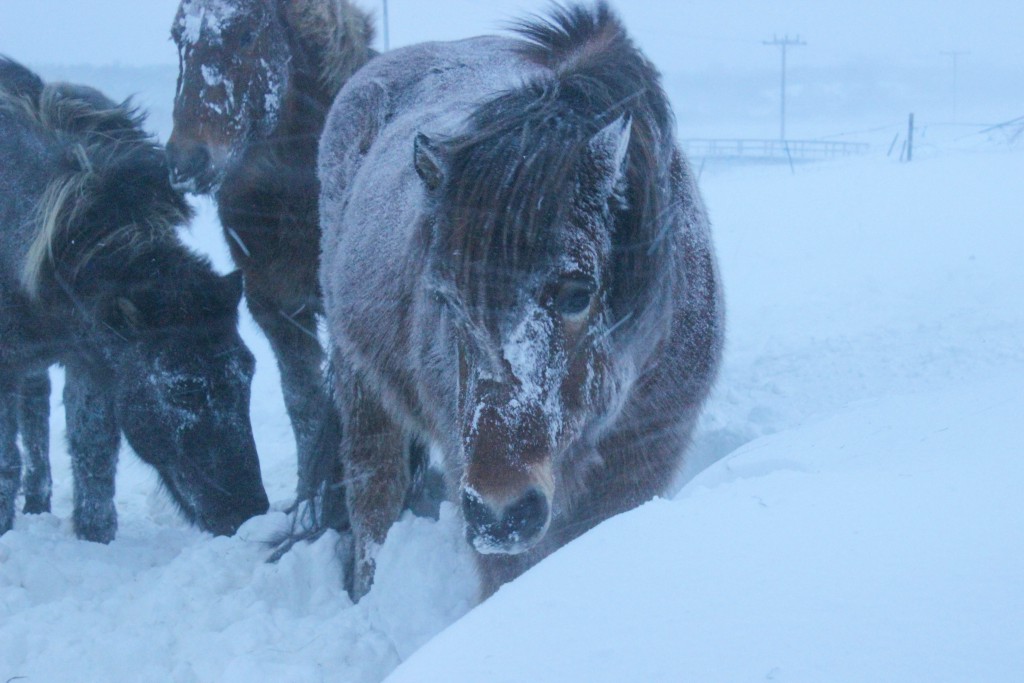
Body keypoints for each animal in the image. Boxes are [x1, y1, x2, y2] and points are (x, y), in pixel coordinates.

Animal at [0, 57, 268, 540]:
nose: (248, 510)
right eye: (182, 390)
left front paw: (95, 537)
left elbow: (93, 457)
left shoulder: (92, 359)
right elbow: (7, 461)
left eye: (248, 372)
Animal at [165, 0, 378, 509]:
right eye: (177, 38)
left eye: (245, 35)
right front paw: (306, 498)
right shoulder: (277, 308)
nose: (186, 162)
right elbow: (304, 405)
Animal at [315, 2, 724, 602]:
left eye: (578, 293)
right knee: (373, 490)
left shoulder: (644, 456)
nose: (499, 513)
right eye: (446, 299)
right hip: (360, 383)